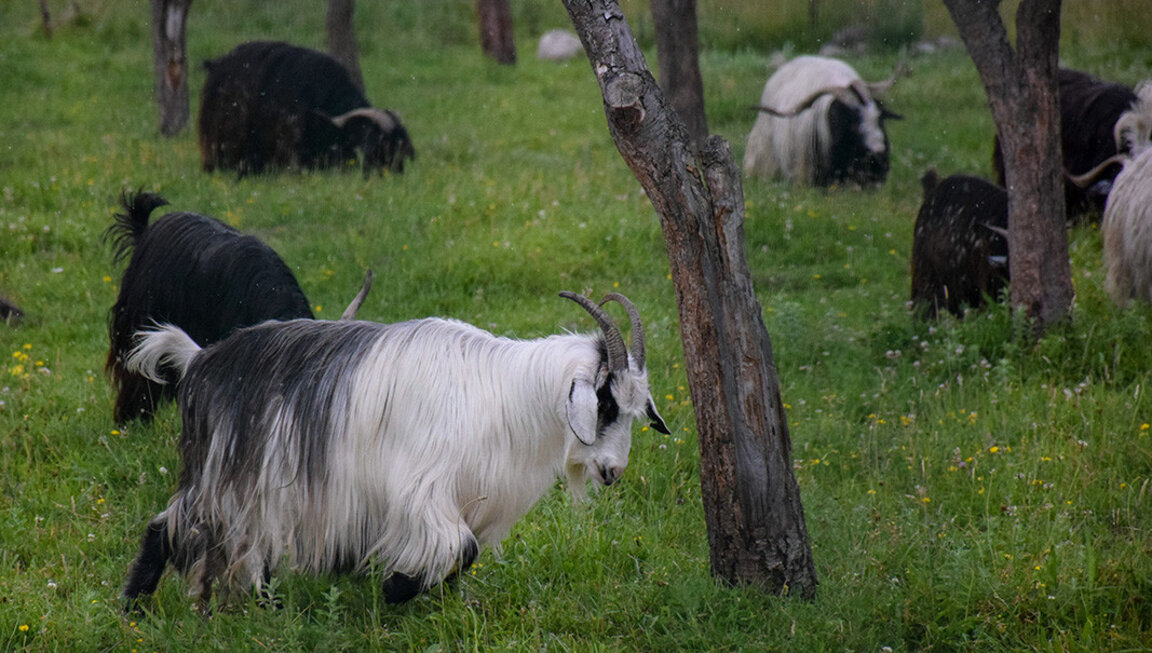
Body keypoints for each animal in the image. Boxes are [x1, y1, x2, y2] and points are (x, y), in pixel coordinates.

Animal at [120, 292, 669, 608]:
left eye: (637, 410)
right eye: (605, 403)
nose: (613, 471)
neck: (506, 395)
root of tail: (200, 358)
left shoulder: (471, 495)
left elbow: (464, 555)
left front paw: (439, 599)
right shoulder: (421, 488)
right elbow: (461, 547)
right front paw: (395, 589)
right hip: (231, 472)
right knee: (174, 523)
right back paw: (134, 605)